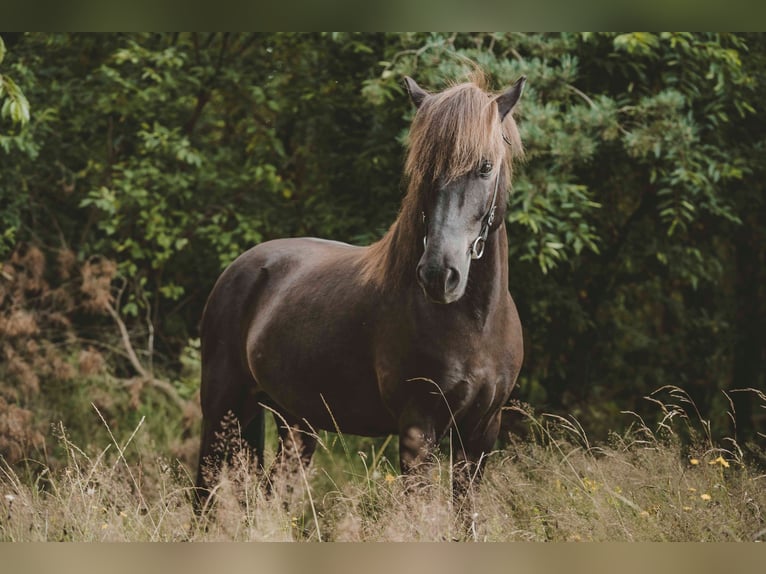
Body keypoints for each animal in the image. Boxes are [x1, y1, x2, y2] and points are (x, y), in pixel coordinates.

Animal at [195, 73, 524, 512]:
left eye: (485, 167)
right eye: (424, 167)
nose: (438, 274)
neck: (477, 325)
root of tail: (241, 267)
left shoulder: (481, 433)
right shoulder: (418, 429)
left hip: (295, 422)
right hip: (223, 412)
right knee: (203, 496)